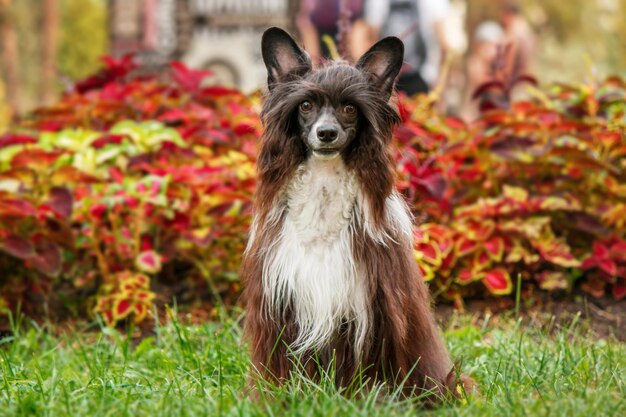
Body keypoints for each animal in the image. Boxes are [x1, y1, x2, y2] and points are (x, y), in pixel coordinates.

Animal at [241, 27, 470, 398]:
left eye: (349, 108)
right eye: (305, 105)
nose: (326, 133)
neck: (324, 191)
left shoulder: (371, 309)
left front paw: (361, 400)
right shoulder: (282, 304)